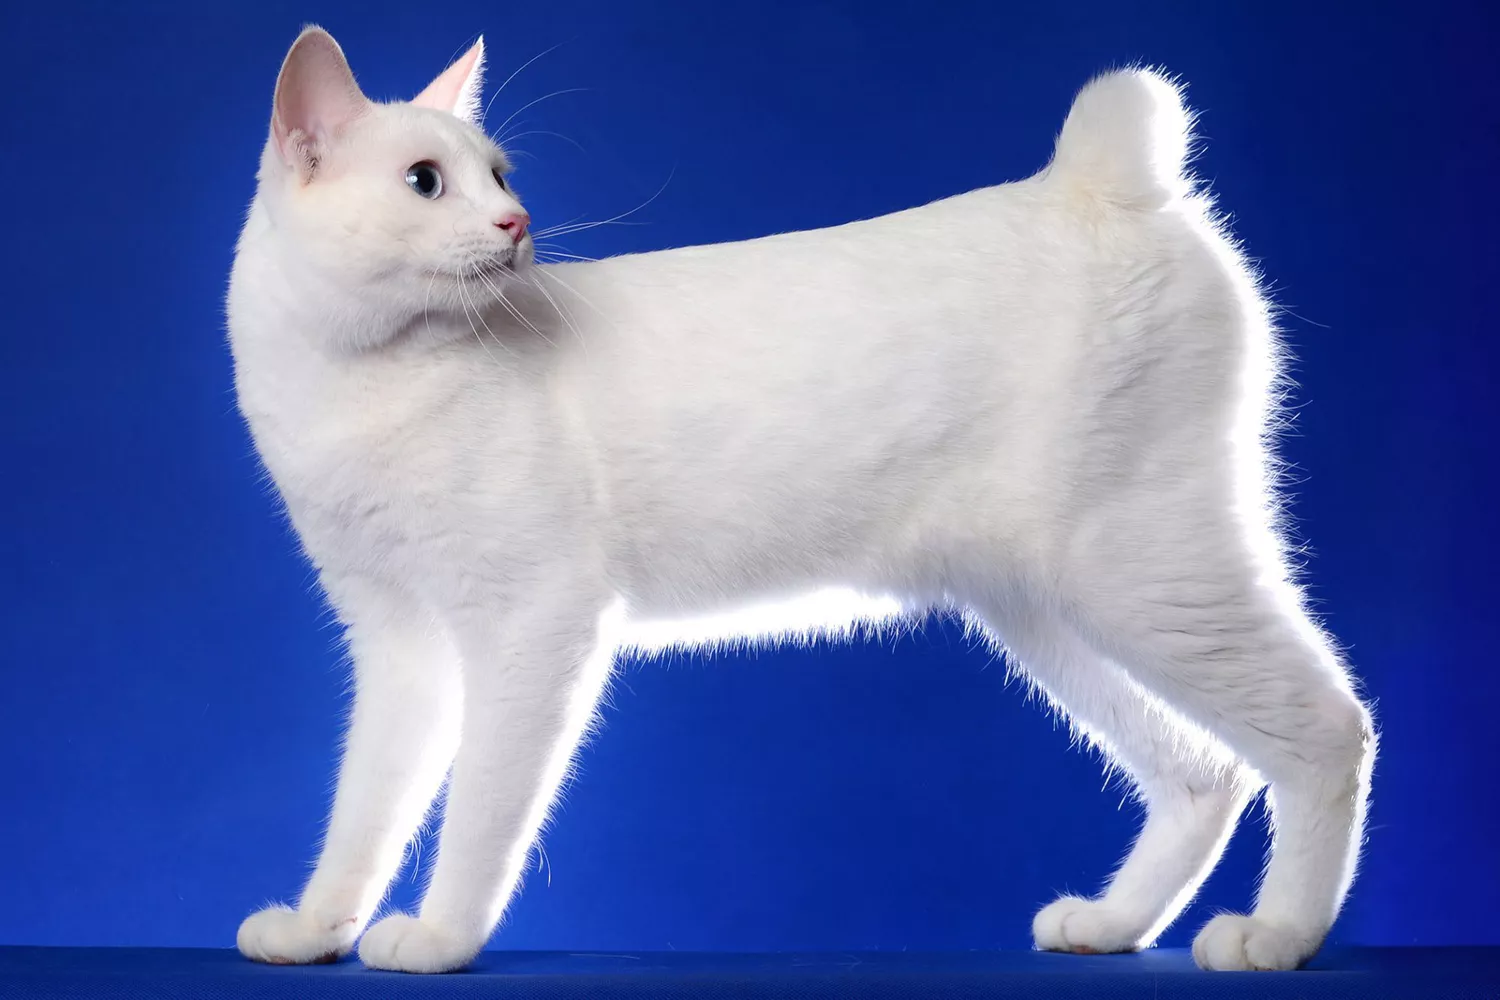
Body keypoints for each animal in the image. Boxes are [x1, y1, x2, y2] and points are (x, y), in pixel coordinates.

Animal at [228, 25, 1374, 977]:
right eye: (428, 182)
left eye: (499, 175)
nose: (518, 223)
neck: (360, 383)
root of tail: (1092, 180)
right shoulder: (402, 645)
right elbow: (367, 806)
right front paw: (320, 926)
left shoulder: (532, 627)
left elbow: (478, 812)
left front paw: (438, 938)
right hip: (1049, 612)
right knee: (1201, 773)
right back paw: (1113, 924)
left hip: (1144, 574)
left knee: (1331, 730)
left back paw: (1278, 934)